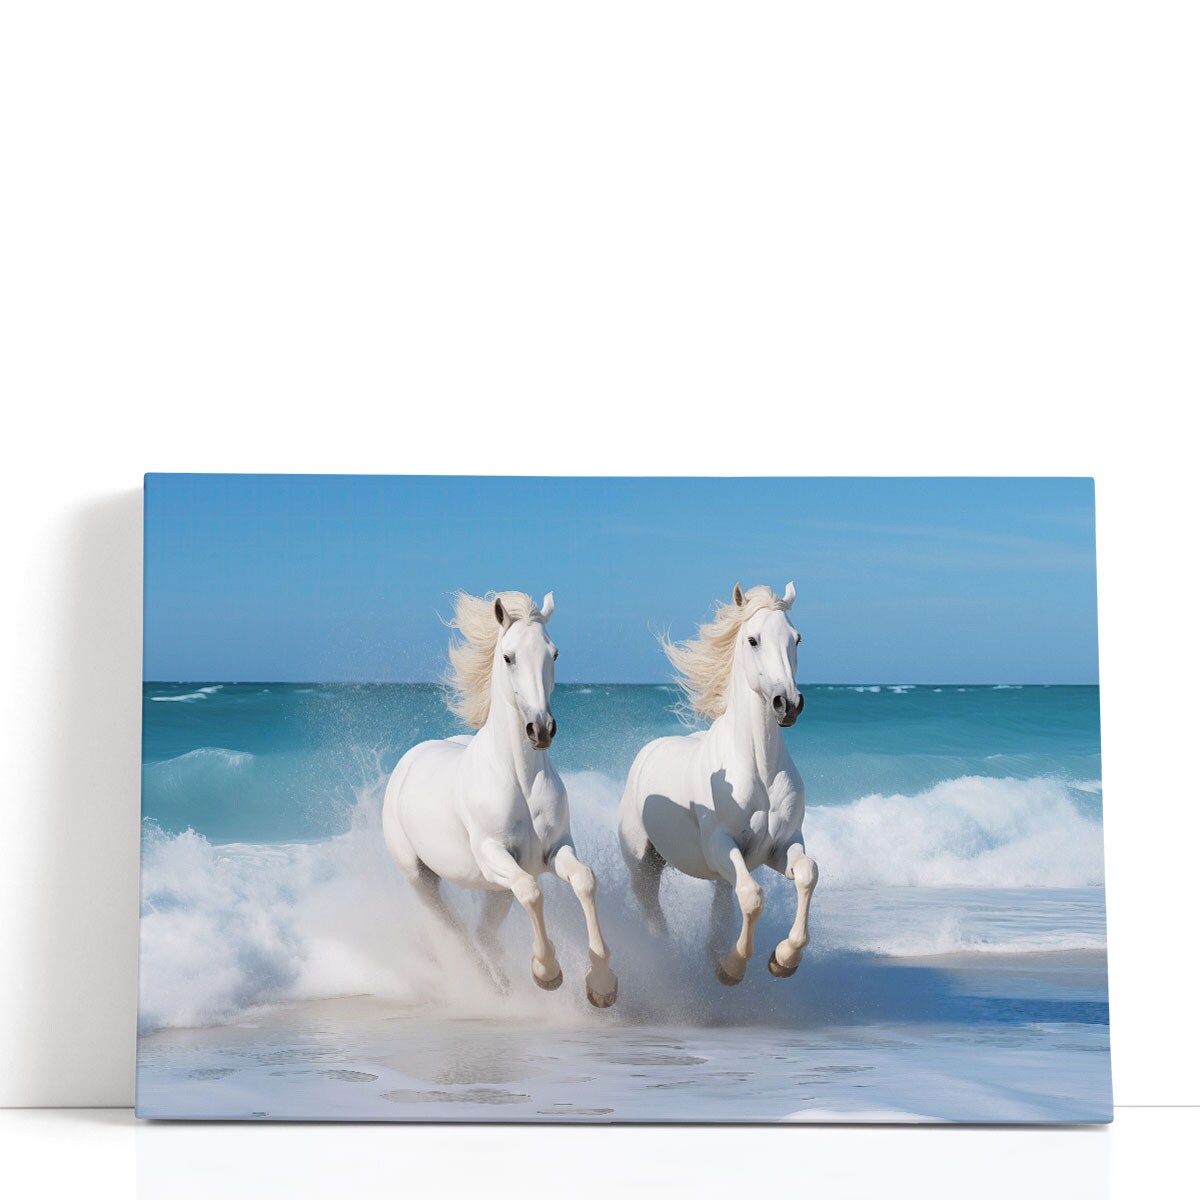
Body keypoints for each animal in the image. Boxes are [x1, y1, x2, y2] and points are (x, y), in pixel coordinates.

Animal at [382, 590, 618, 1008]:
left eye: (554, 653)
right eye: (508, 657)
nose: (541, 729)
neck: (520, 781)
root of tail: (408, 760)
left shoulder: (555, 849)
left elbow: (584, 881)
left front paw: (602, 986)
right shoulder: (495, 856)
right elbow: (532, 891)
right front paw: (547, 973)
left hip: (493, 892)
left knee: (483, 934)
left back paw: (504, 987)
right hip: (421, 879)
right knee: (457, 933)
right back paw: (488, 988)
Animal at [617, 582, 818, 985]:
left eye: (797, 639)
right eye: (753, 640)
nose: (787, 704)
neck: (759, 769)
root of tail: (646, 752)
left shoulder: (782, 845)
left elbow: (806, 874)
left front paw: (784, 959)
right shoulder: (720, 845)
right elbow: (753, 896)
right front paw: (732, 967)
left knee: (725, 900)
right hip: (643, 864)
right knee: (652, 908)